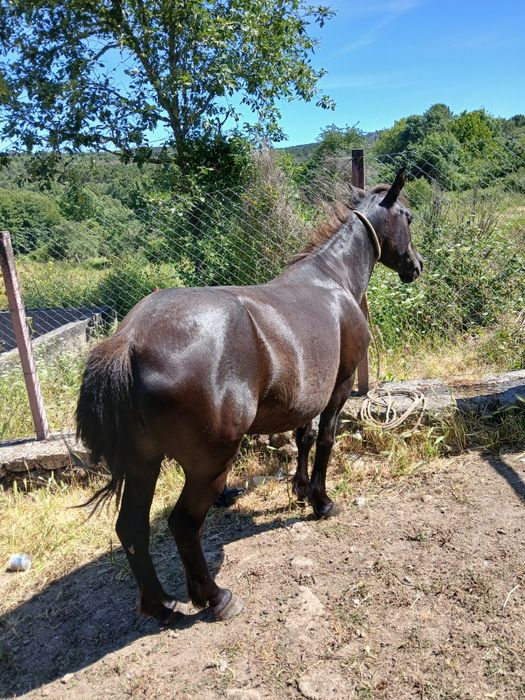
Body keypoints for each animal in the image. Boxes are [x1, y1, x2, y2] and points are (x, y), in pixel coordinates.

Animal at [76, 169, 423, 624]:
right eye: (408, 217)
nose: (416, 265)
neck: (331, 278)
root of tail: (129, 341)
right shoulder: (340, 386)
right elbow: (326, 440)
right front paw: (321, 501)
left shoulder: (305, 395)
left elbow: (303, 438)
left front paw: (299, 488)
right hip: (209, 464)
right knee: (183, 524)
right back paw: (214, 597)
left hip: (143, 463)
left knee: (131, 528)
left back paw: (162, 604)